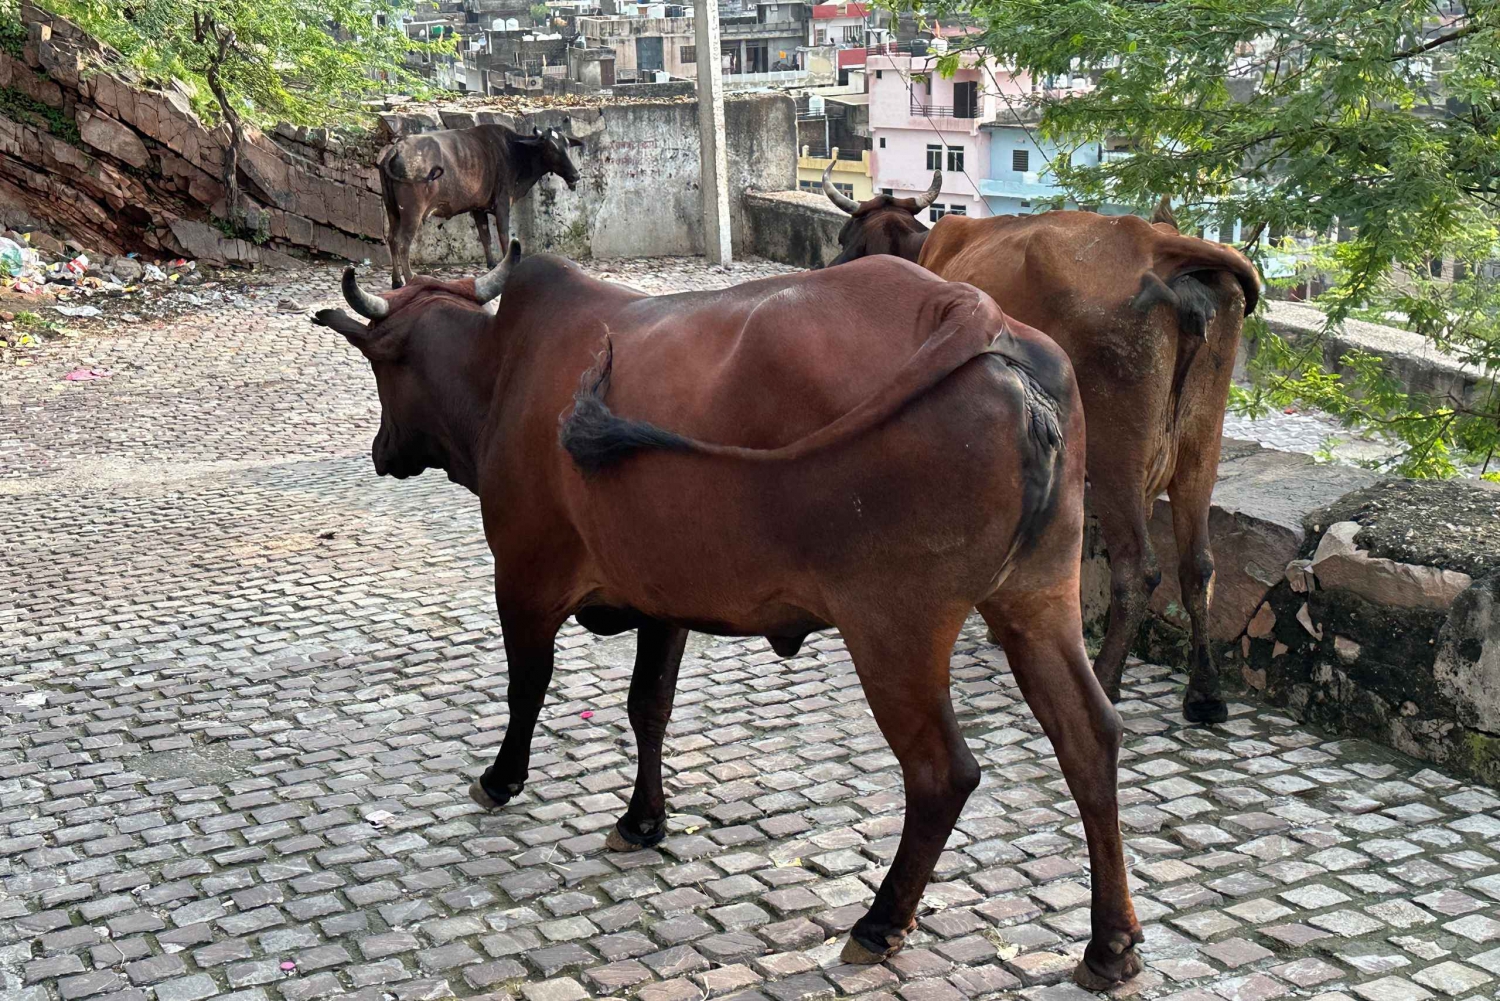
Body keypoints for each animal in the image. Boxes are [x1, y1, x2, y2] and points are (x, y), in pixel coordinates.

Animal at [313, 250, 1134, 984]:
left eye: (382, 366)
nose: (382, 450)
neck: (503, 369)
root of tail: (970, 308)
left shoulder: (522, 576)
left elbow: (528, 688)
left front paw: (500, 777)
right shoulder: (662, 596)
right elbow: (649, 705)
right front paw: (643, 820)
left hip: (894, 628)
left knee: (942, 772)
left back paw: (880, 922)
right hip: (1037, 598)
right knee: (1089, 736)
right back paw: (1111, 945)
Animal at [378, 124, 582, 288]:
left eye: (567, 145)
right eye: (551, 147)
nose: (576, 175)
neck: (513, 152)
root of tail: (396, 148)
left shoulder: (477, 208)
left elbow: (485, 236)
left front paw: (492, 265)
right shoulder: (502, 203)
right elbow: (503, 236)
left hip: (392, 210)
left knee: (392, 239)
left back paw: (396, 281)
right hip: (412, 213)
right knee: (403, 242)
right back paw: (410, 278)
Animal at [828, 187, 1260, 723]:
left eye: (846, 238)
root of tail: (1158, 243)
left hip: (1118, 453)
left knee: (1138, 568)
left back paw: (1107, 683)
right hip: (1200, 446)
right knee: (1198, 564)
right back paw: (1205, 694)